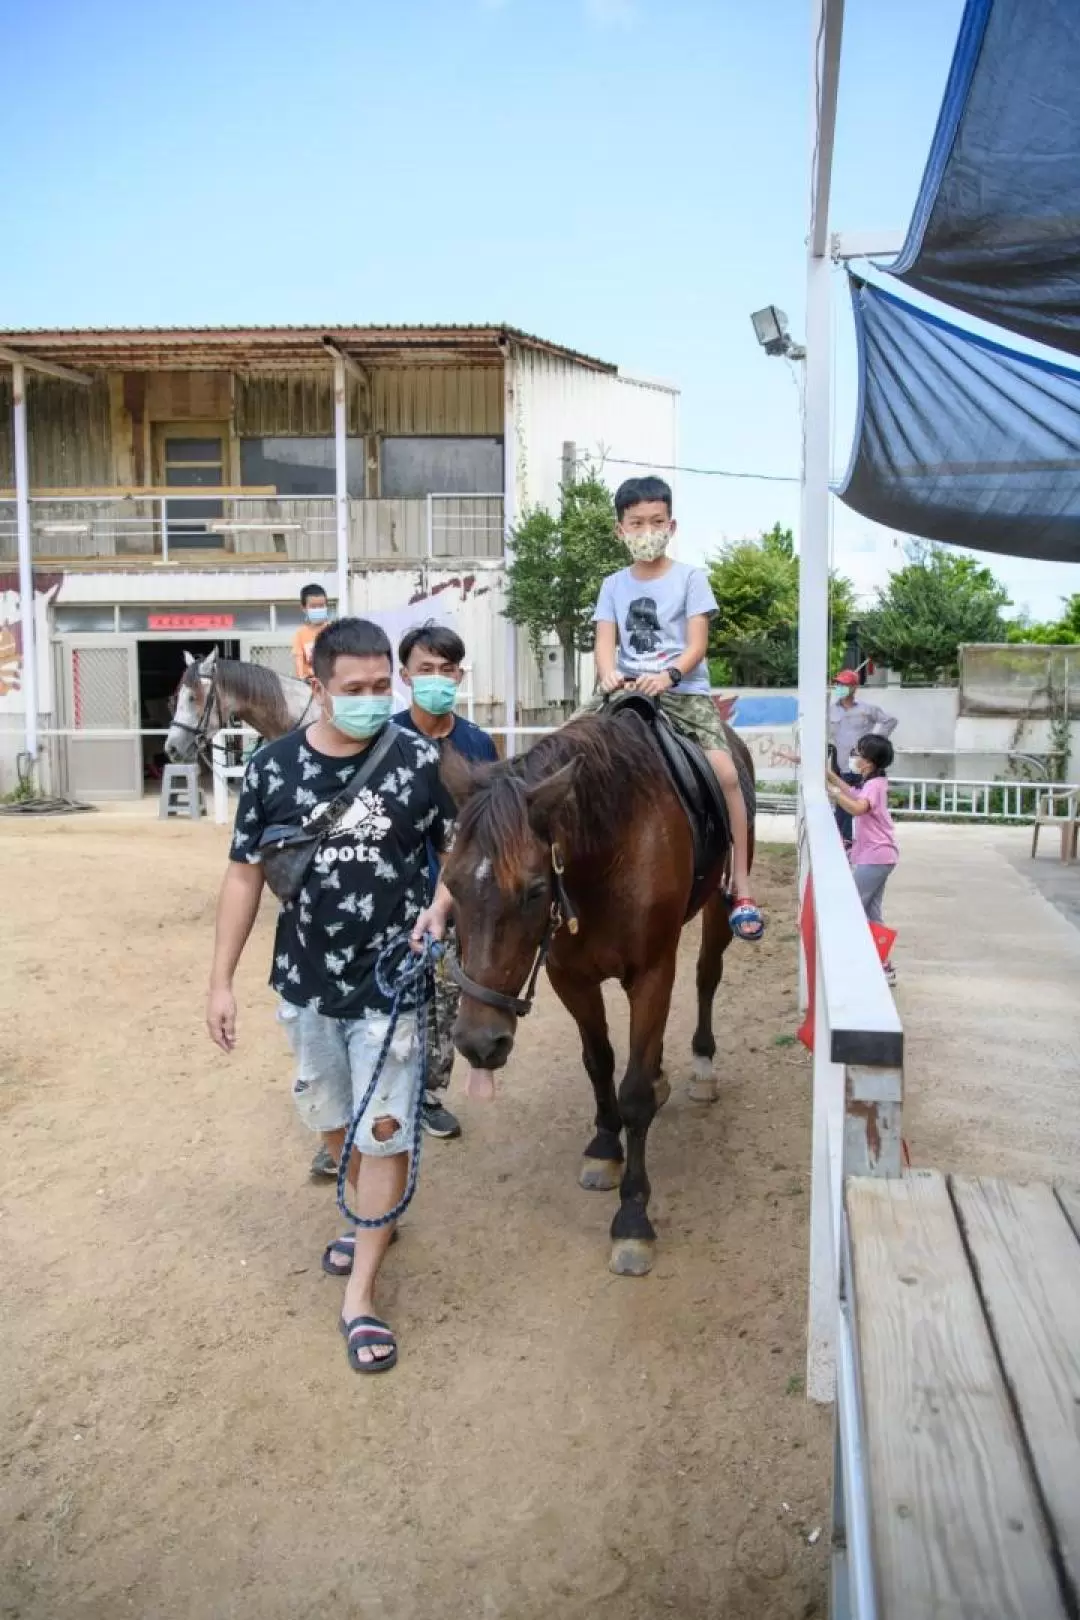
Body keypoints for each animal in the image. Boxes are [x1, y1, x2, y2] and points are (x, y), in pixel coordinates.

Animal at [443, 709, 757, 1276]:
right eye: (450, 884)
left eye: (534, 890)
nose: (478, 1043)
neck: (609, 852)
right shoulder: (571, 977)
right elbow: (600, 1062)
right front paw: (606, 1146)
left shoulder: (652, 973)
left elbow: (632, 1094)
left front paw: (633, 1218)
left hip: (719, 908)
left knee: (706, 976)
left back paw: (702, 1066)